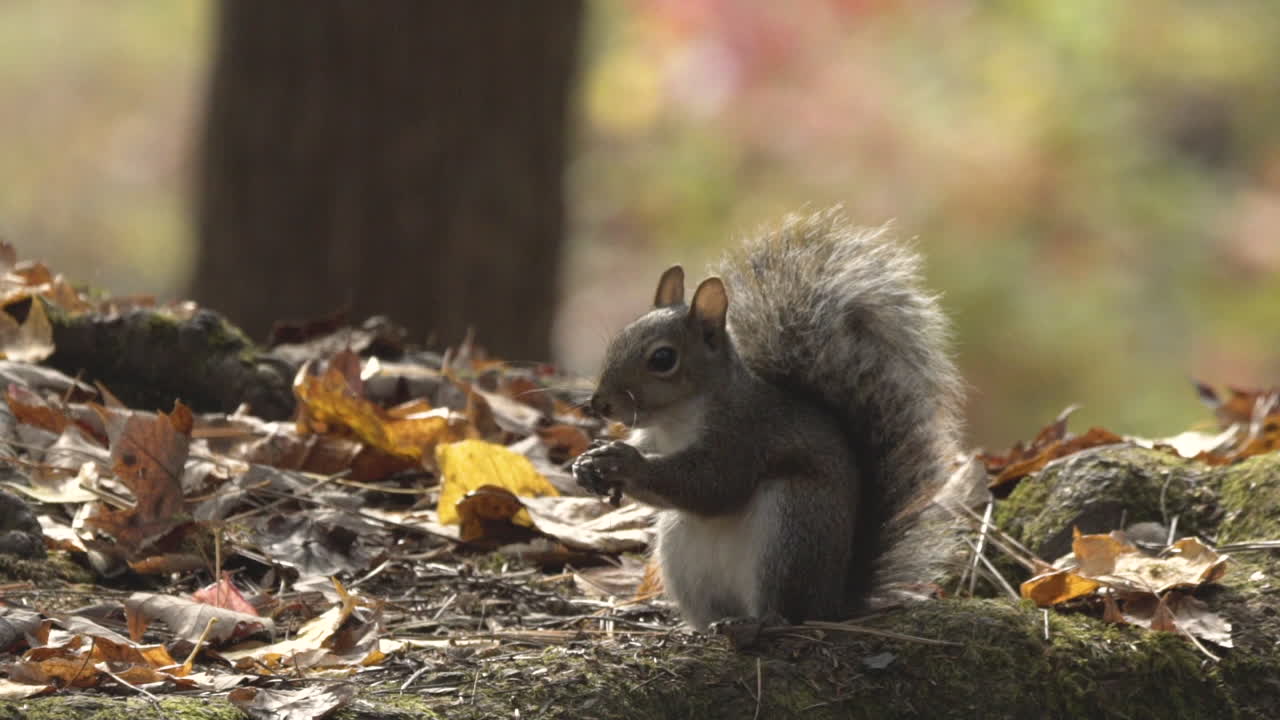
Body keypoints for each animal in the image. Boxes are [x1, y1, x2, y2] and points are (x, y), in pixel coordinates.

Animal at [572, 207, 974, 630]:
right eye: (619, 338)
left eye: (663, 359)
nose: (600, 404)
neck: (675, 423)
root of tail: (833, 604)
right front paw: (587, 465)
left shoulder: (743, 435)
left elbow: (711, 484)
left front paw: (624, 462)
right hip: (681, 547)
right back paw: (707, 626)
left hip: (790, 527)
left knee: (785, 610)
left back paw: (758, 624)